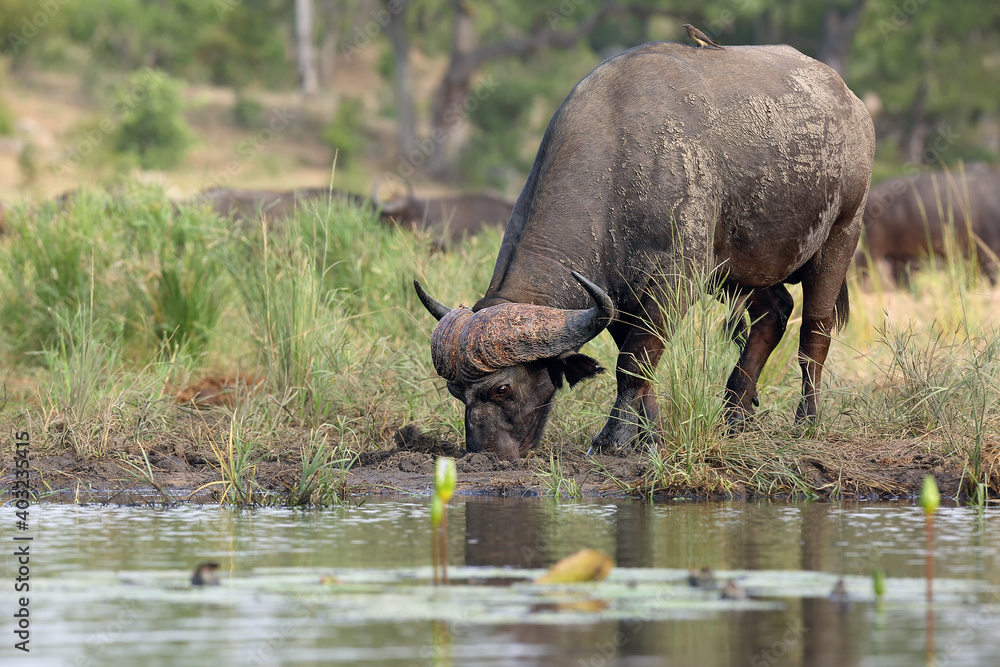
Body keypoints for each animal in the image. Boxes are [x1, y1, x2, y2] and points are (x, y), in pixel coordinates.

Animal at [414, 40, 876, 460]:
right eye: (455, 391)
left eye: (502, 388)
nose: (481, 454)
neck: (617, 157)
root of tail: (853, 105)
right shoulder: (616, 298)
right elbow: (637, 362)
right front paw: (650, 436)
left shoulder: (674, 283)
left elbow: (632, 364)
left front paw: (612, 438)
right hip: (744, 265)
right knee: (773, 314)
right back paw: (734, 415)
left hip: (841, 234)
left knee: (814, 331)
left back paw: (806, 420)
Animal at [852, 170, 1000, 284]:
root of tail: (872, 192)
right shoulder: (988, 252)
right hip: (875, 243)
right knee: (862, 265)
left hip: (901, 252)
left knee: (900, 274)